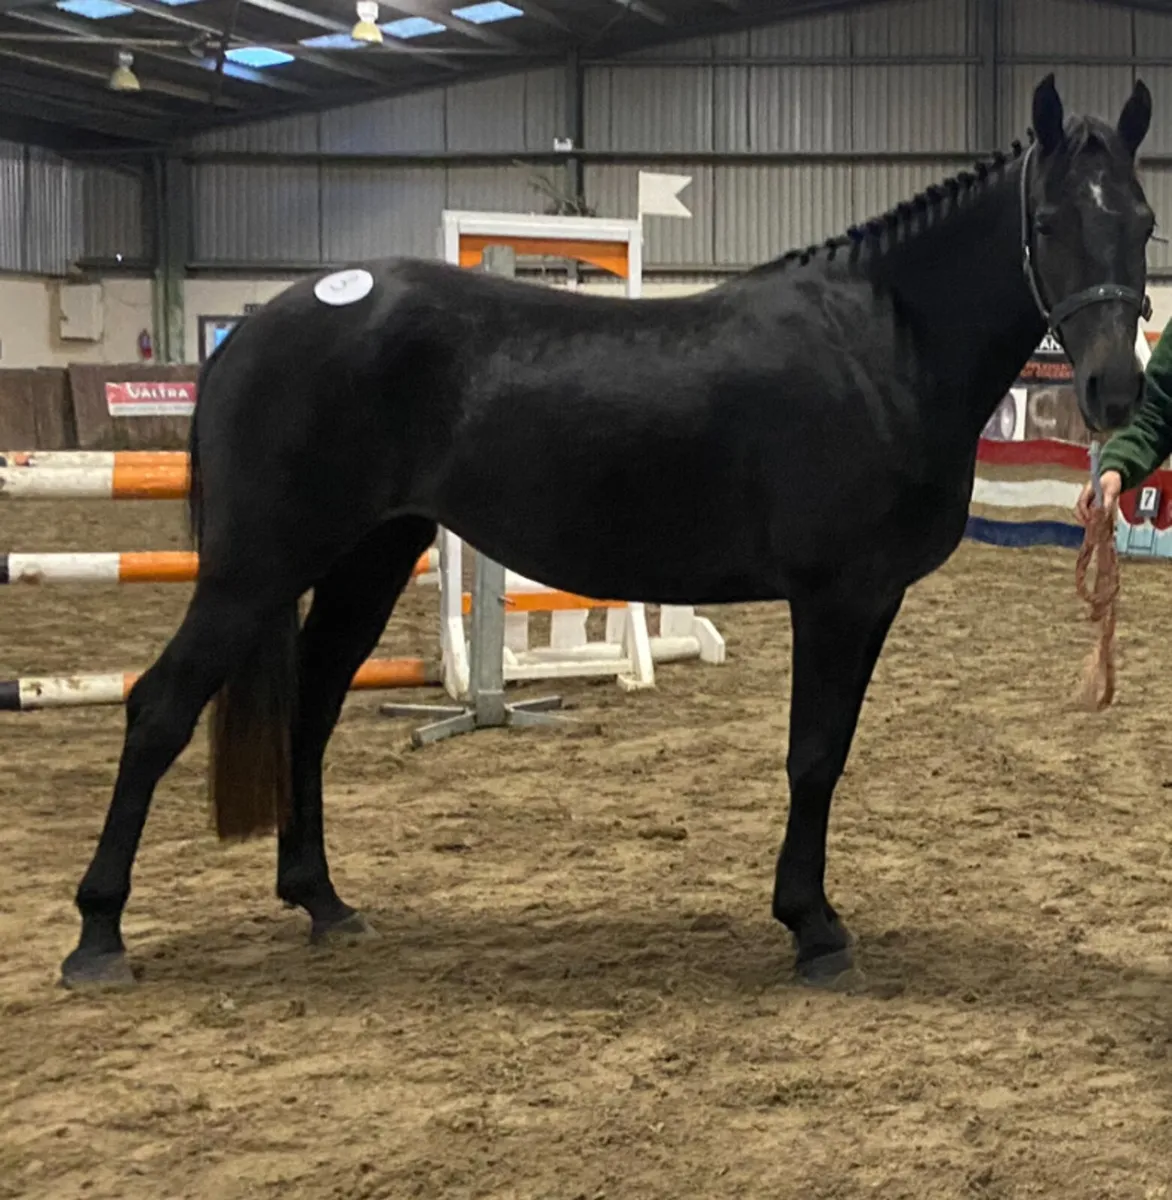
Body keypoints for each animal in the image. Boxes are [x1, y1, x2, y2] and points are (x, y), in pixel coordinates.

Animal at [59, 73, 1155, 991]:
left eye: (1141, 219)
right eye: (1048, 221)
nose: (1113, 389)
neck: (878, 346)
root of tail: (255, 326)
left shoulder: (869, 601)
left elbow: (831, 751)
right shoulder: (834, 597)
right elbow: (811, 755)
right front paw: (812, 930)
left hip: (366, 559)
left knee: (313, 707)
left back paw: (323, 902)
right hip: (255, 567)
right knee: (158, 707)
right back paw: (98, 938)